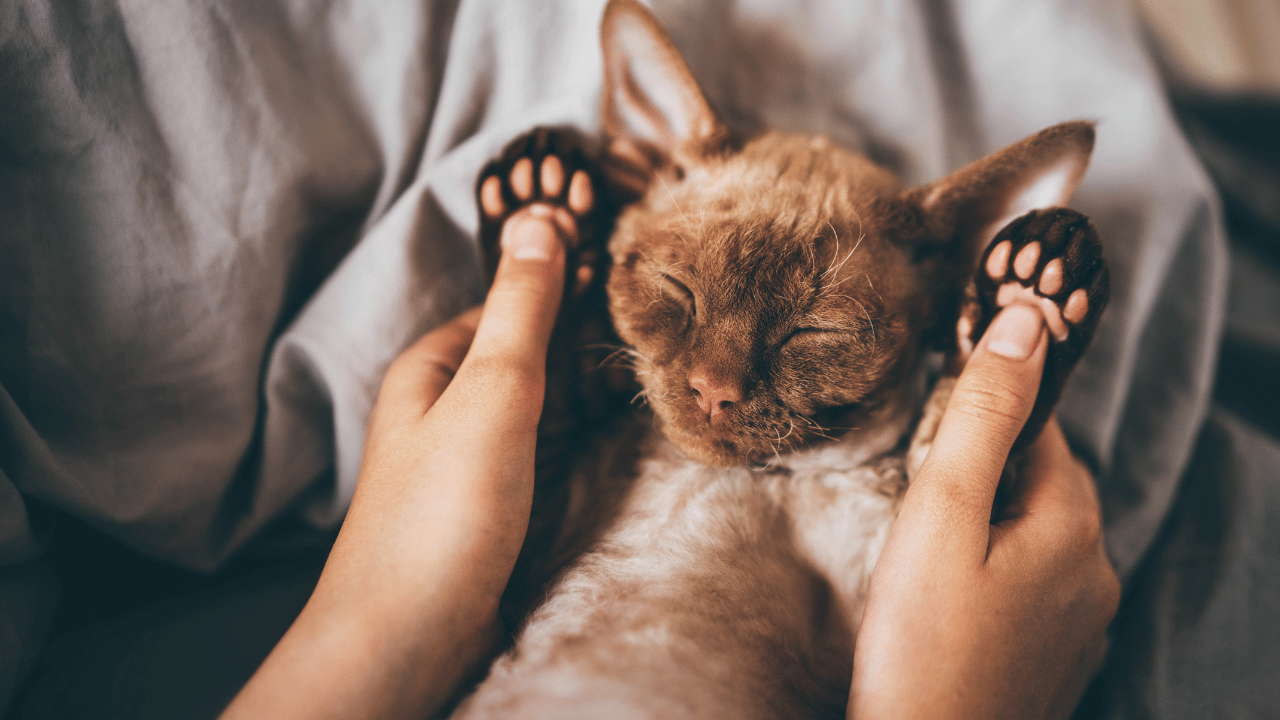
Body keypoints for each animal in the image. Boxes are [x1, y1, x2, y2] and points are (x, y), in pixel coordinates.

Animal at [453, 2, 1111, 712]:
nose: (713, 388)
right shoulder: (538, 529)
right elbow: (553, 376)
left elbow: (967, 434)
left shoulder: (896, 553)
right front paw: (538, 203)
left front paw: (1032, 286)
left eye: (812, 333)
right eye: (678, 288)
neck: (776, 477)